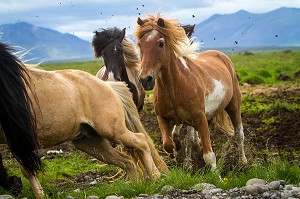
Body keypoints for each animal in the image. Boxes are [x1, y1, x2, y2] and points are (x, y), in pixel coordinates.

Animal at [0, 42, 168, 198]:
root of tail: (108, 85)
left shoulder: (18, 141)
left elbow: (27, 170)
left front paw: (38, 194)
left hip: (112, 131)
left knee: (141, 141)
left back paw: (155, 177)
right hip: (89, 142)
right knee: (126, 160)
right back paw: (135, 185)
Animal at [135, 14, 247, 169]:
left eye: (160, 43)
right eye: (140, 45)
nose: (145, 79)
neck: (175, 87)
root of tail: (221, 55)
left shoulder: (200, 118)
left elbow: (209, 155)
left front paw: (214, 172)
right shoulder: (162, 117)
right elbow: (168, 143)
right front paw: (176, 153)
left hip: (234, 106)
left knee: (239, 134)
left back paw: (243, 162)